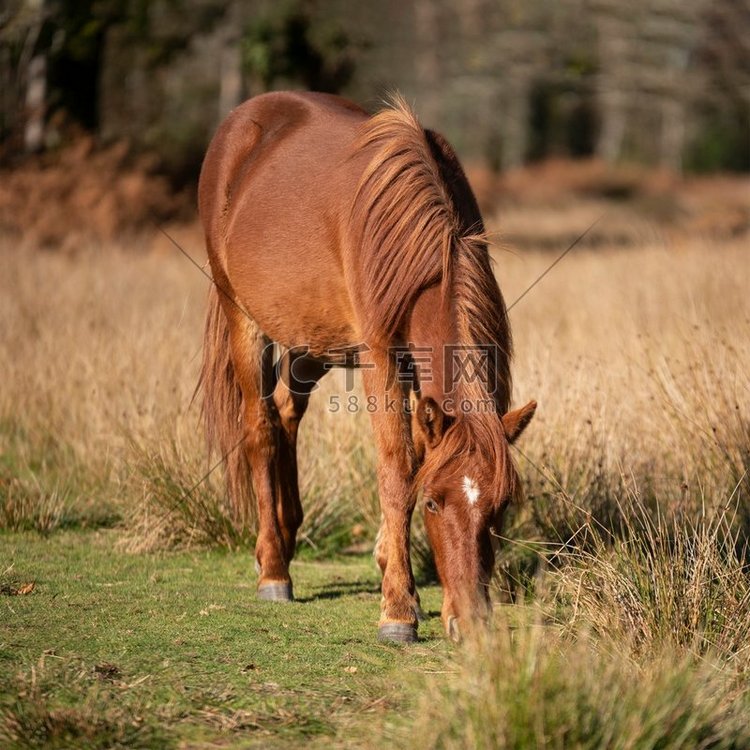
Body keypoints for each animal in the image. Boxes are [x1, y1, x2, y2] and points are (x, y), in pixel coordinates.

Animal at [197, 91, 536, 644]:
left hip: (311, 342)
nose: (472, 619)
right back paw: (274, 570)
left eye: (500, 507)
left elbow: (415, 456)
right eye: (433, 503)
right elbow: (398, 469)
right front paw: (398, 610)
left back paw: (286, 535)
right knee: (262, 431)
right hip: (242, 317)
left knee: (287, 415)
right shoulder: (381, 359)